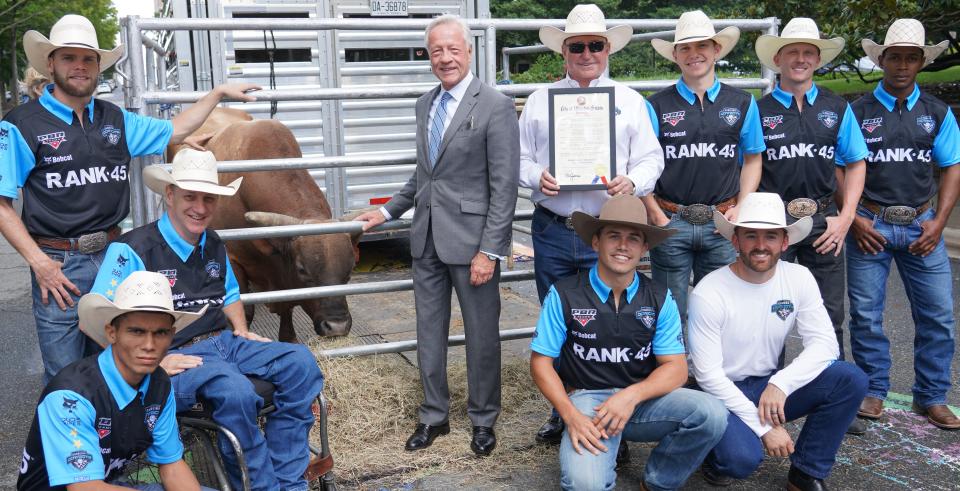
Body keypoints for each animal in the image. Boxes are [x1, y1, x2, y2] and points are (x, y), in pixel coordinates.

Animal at [171, 109, 358, 344]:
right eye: (302, 269)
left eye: (350, 270)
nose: (337, 326)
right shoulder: (233, 260)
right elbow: (245, 311)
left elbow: (287, 307)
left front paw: (289, 337)